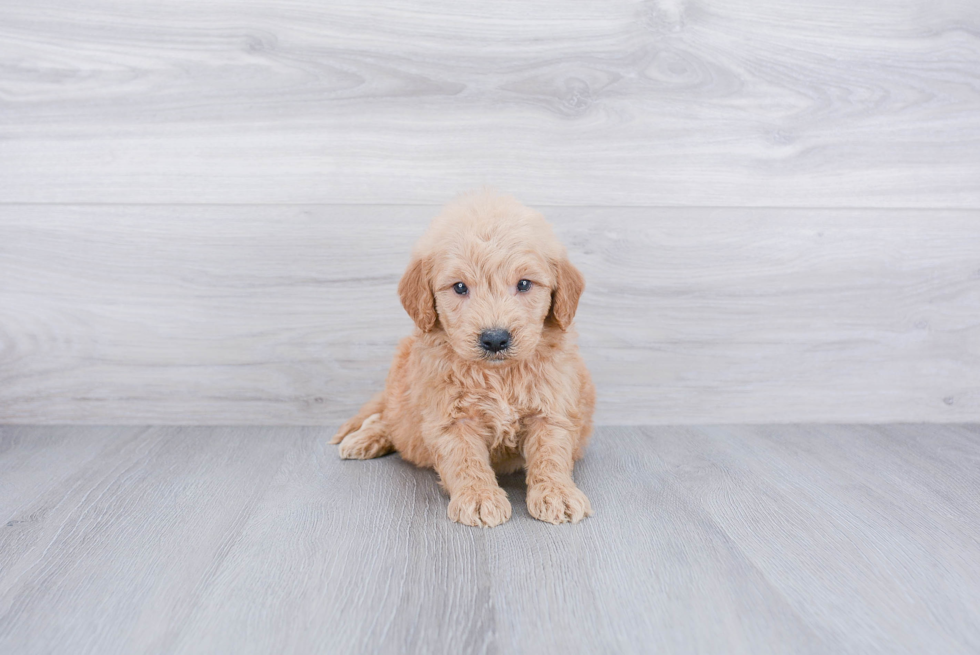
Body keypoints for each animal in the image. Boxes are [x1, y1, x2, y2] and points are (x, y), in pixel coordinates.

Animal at [330, 191, 592, 528]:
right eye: (459, 287)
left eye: (524, 284)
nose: (495, 339)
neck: (499, 376)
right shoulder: (450, 416)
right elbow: (465, 458)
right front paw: (479, 497)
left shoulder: (552, 406)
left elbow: (551, 452)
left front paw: (556, 492)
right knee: (388, 418)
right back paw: (363, 439)